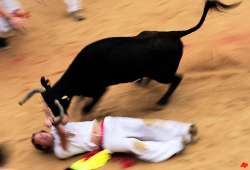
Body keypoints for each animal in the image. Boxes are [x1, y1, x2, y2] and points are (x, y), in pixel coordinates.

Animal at [19, 0, 238, 118]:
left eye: (55, 104)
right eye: (48, 104)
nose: (56, 120)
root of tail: (173, 34)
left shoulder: (100, 89)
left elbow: (89, 104)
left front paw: (85, 111)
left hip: (162, 74)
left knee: (177, 78)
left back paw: (161, 101)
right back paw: (142, 82)